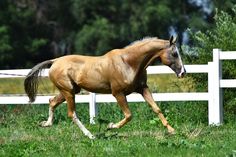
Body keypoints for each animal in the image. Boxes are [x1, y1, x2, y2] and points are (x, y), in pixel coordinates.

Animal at [24, 35, 186, 139]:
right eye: (174, 53)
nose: (183, 72)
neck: (128, 62)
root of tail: (55, 61)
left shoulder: (142, 89)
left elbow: (156, 108)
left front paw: (171, 130)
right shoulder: (118, 93)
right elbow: (129, 115)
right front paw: (110, 126)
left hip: (70, 91)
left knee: (52, 101)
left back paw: (46, 124)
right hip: (68, 92)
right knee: (72, 114)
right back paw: (90, 136)